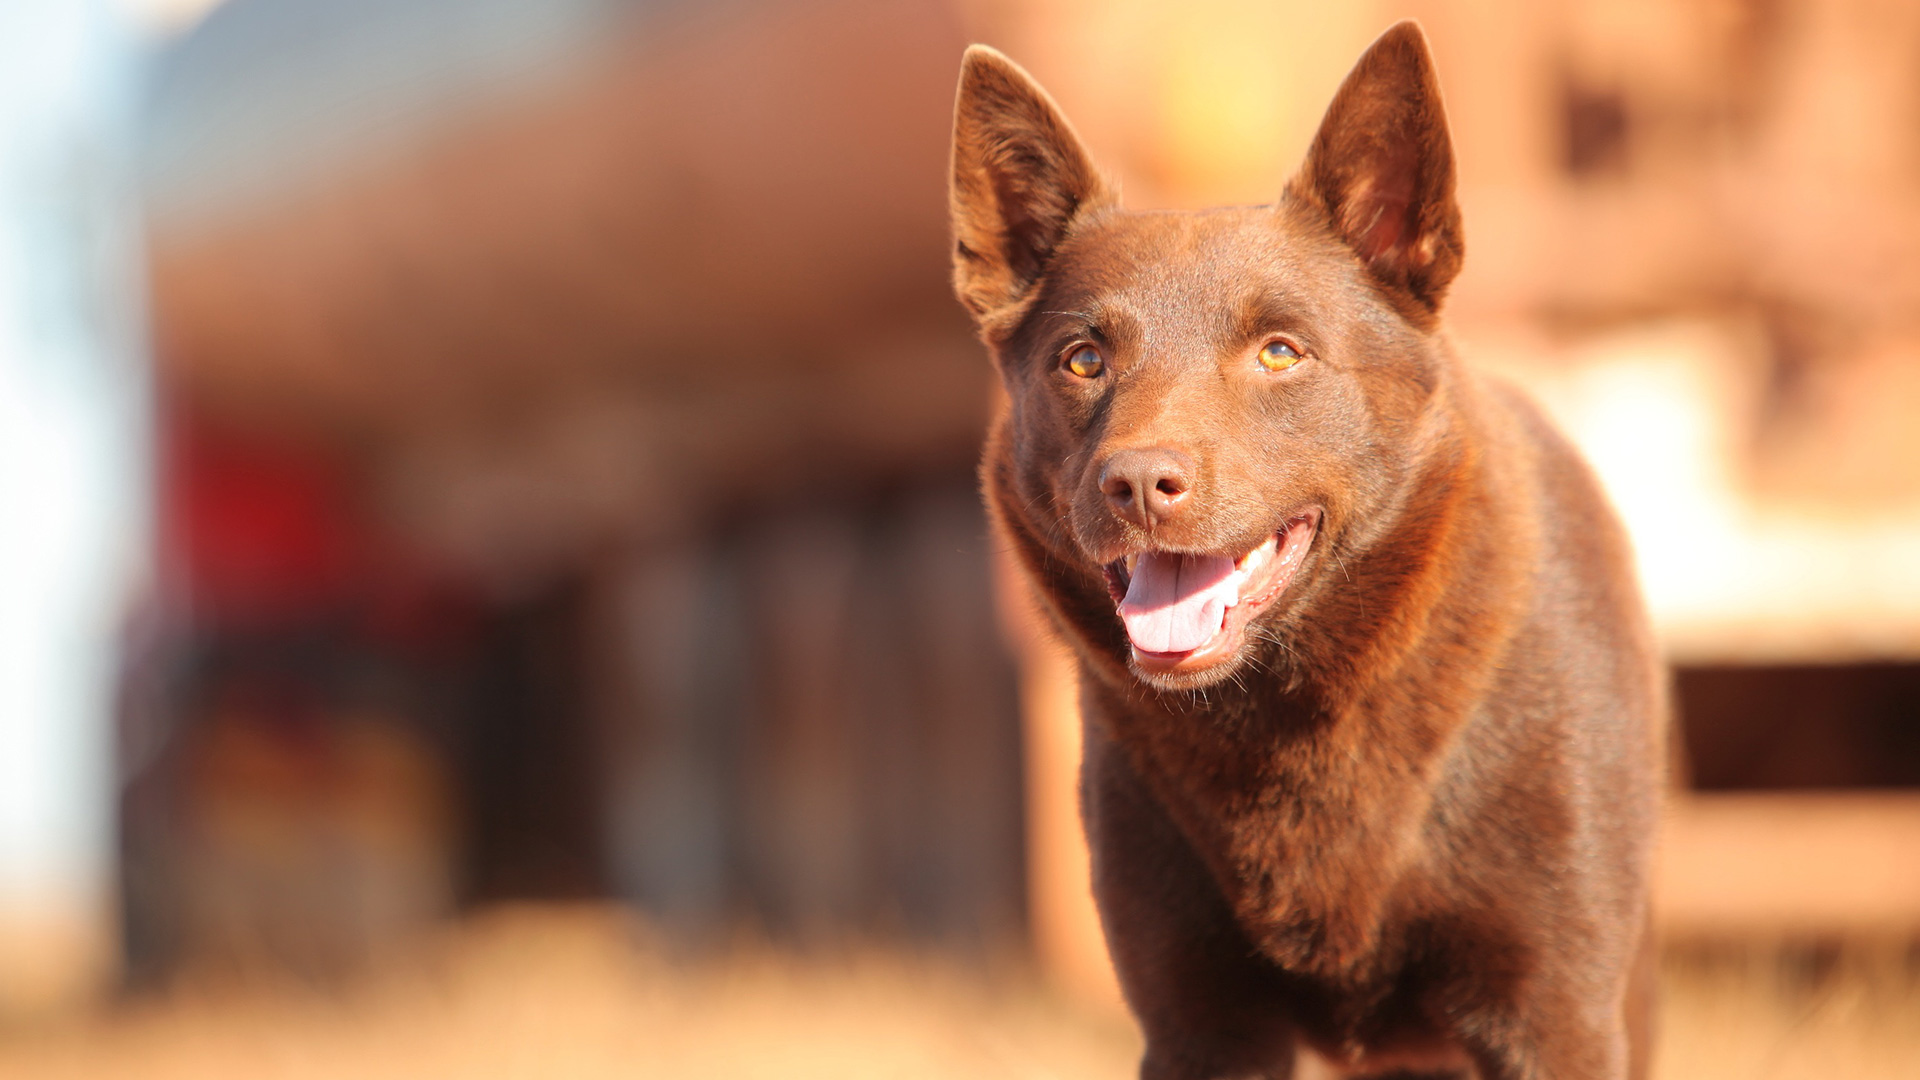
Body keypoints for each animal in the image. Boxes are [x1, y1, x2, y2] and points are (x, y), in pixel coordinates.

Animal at [944, 18, 1666, 1076]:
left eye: (1280, 352)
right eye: (1083, 359)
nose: (1138, 485)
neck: (1290, 715)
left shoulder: (1556, 1018)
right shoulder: (1200, 1026)